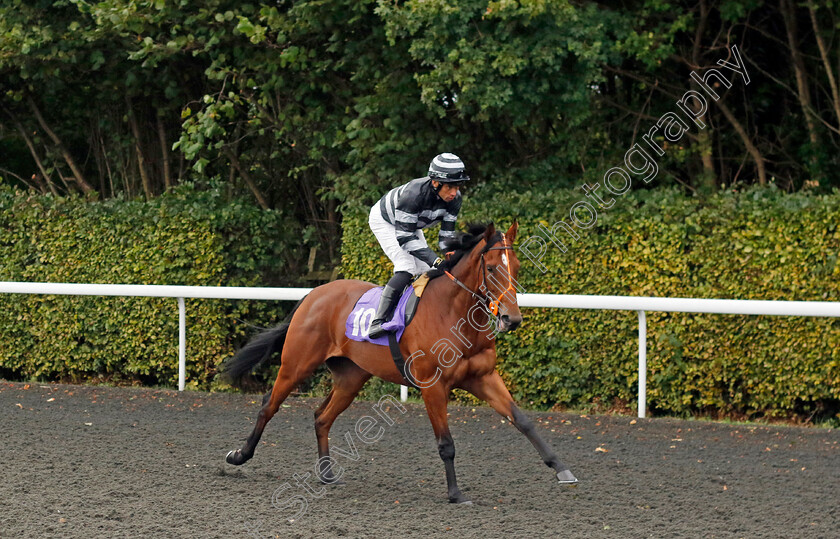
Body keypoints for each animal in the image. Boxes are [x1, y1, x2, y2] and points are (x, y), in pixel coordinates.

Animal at [223, 221, 576, 504]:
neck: (453, 313)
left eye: (516, 266)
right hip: (296, 364)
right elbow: (446, 443)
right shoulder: (433, 385)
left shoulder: (483, 377)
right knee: (268, 406)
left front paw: (562, 469)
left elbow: (523, 420)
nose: (511, 319)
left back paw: (326, 474)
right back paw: (239, 456)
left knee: (322, 417)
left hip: (351, 378)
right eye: (490, 268)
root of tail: (313, 294)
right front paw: (455, 494)